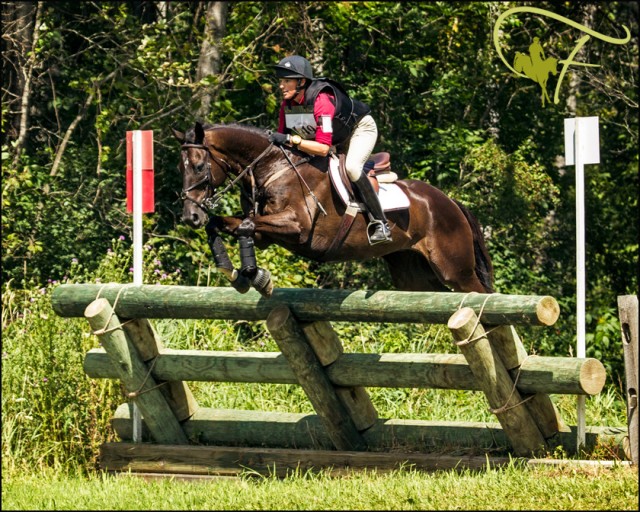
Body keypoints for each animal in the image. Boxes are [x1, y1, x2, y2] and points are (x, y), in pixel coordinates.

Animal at [172, 122, 492, 298]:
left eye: (198, 166)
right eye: (180, 168)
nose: (190, 216)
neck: (273, 167)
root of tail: (450, 202)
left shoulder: (297, 228)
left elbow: (246, 227)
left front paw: (256, 276)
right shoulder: (265, 234)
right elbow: (226, 225)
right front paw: (235, 273)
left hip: (455, 270)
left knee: (480, 294)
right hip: (413, 274)